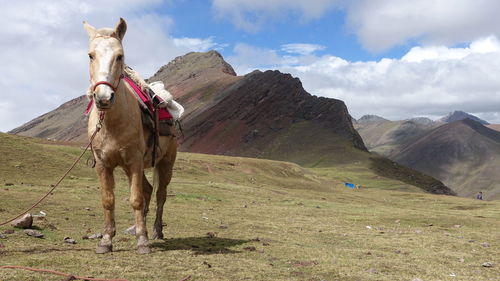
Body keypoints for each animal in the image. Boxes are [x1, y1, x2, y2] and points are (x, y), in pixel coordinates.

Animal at [82, 18, 176, 254]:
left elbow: (136, 199)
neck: (111, 124)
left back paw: (155, 231)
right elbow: (108, 200)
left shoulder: (134, 161)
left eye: (120, 56)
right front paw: (106, 240)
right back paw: (138, 228)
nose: (103, 98)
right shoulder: (103, 164)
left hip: (166, 163)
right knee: (149, 190)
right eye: (90, 55)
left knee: (160, 194)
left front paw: (143, 241)